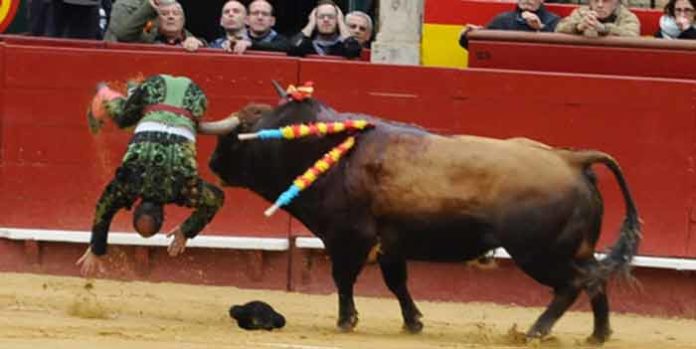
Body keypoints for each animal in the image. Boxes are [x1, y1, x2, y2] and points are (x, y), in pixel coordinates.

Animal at [211, 87, 640, 342]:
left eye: (232, 137)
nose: (214, 164)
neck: (327, 152)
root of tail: (571, 159)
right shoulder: (389, 244)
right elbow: (397, 283)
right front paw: (413, 322)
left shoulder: (346, 237)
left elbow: (344, 280)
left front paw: (346, 321)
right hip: (577, 249)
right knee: (595, 281)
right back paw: (598, 335)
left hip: (538, 253)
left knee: (573, 284)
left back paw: (535, 331)